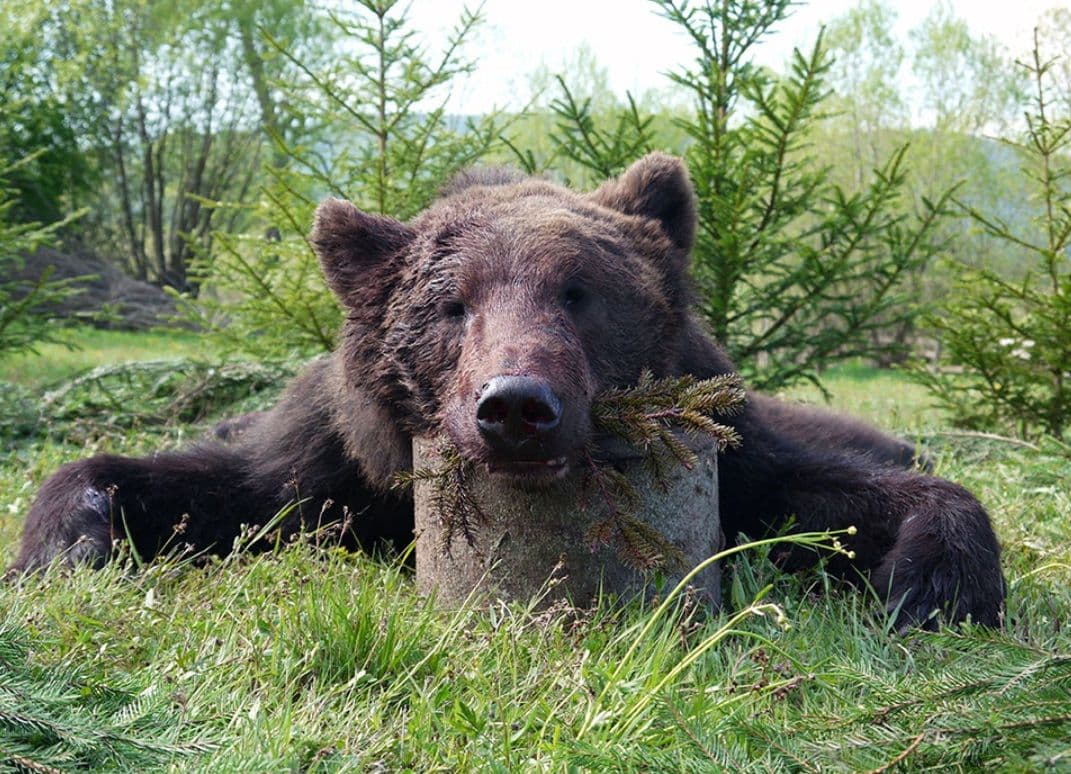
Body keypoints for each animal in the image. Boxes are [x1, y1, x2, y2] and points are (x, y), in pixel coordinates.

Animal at [9, 153, 1004, 630]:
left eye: (580, 291)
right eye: (453, 304)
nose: (516, 405)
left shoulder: (742, 454)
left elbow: (827, 493)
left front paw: (935, 584)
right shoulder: (328, 461)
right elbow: (217, 486)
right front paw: (64, 547)